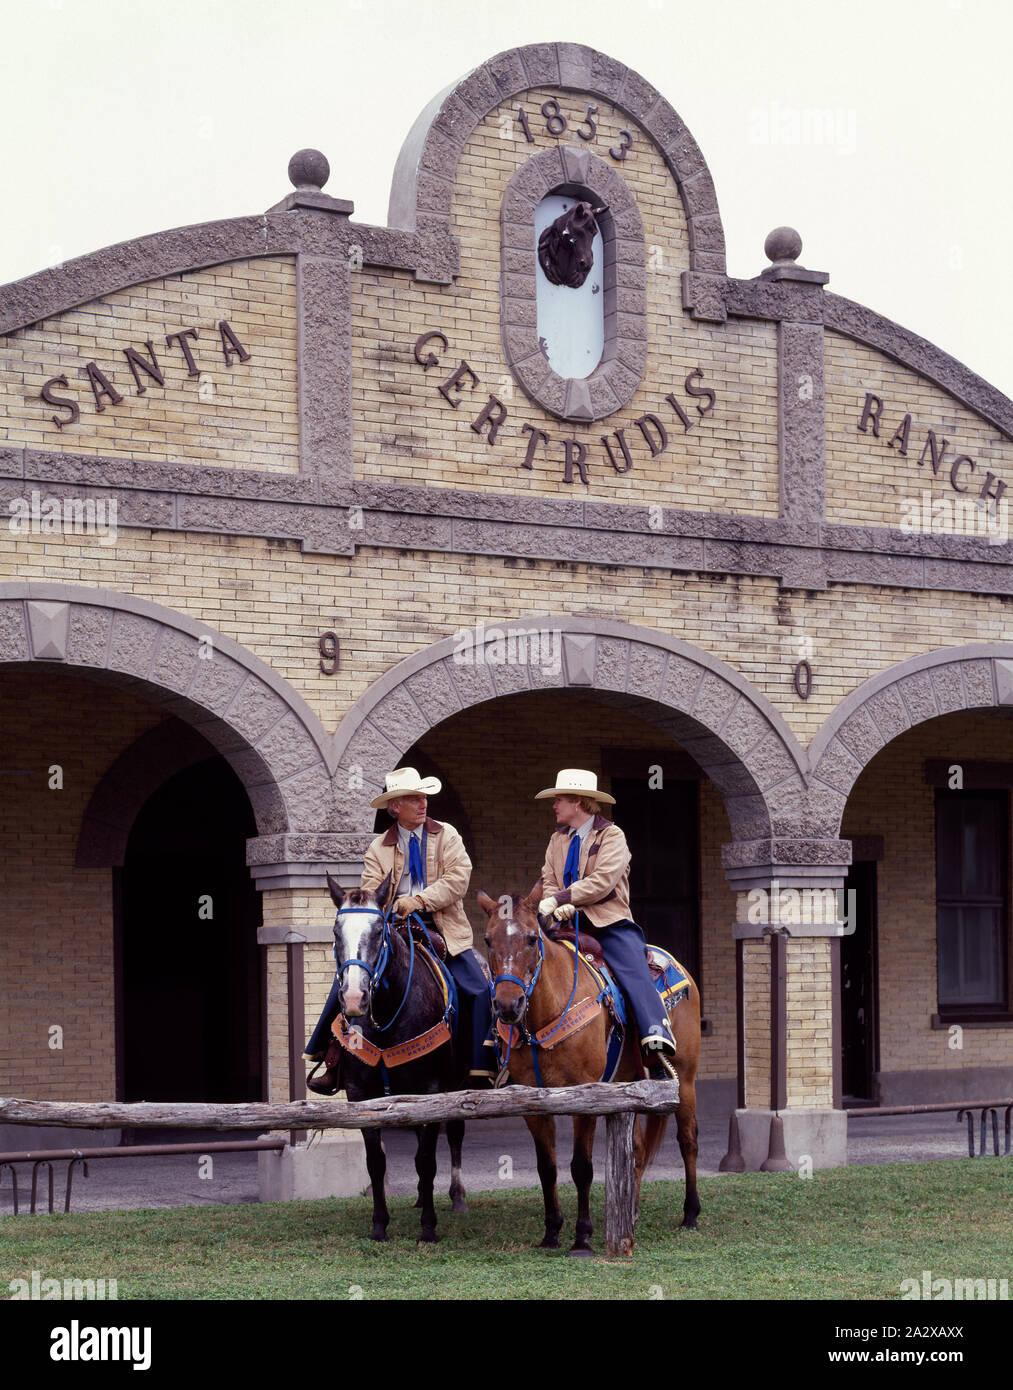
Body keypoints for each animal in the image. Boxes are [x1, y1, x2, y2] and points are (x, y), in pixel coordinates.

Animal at [322, 872, 466, 1245]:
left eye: (378, 931)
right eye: (336, 932)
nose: (354, 998)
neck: (388, 1016)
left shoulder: (432, 1091)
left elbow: (427, 1160)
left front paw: (428, 1227)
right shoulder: (361, 1095)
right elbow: (376, 1162)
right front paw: (379, 1225)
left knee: (455, 1134)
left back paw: (456, 1196)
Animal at [472, 889, 694, 1262]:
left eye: (531, 938)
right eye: (488, 940)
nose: (507, 1006)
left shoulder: (586, 1100)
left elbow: (581, 1167)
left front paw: (582, 1238)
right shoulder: (533, 1104)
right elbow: (547, 1168)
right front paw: (551, 1232)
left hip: (687, 1081)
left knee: (688, 1141)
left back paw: (691, 1214)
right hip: (626, 1085)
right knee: (635, 1151)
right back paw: (631, 1213)